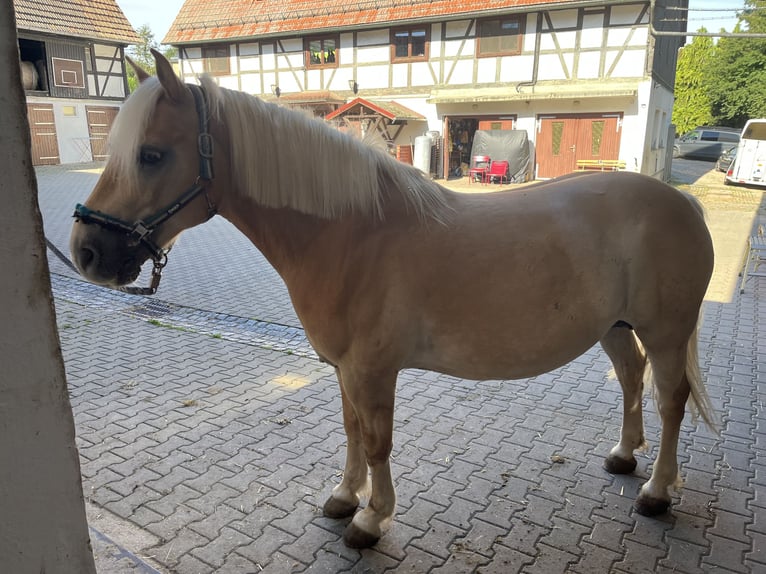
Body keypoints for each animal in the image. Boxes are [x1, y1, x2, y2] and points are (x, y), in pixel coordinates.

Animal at [70, 50, 715, 549]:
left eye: (151, 154)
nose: (86, 252)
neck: (354, 233)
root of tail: (682, 204)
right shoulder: (344, 369)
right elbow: (353, 430)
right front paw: (342, 496)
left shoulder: (373, 370)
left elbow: (377, 440)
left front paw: (371, 519)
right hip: (615, 326)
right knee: (631, 379)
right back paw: (624, 456)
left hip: (665, 332)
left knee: (670, 400)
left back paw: (657, 491)